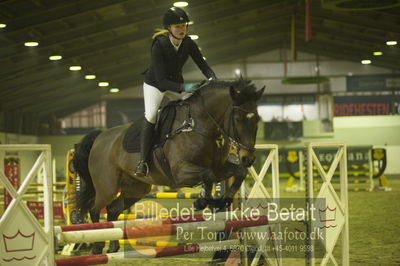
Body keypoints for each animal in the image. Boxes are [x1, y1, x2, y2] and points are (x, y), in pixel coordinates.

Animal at [72, 78, 266, 254]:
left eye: (257, 119)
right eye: (238, 118)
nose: (248, 158)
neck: (200, 124)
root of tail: (99, 137)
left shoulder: (220, 168)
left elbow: (238, 173)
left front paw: (222, 201)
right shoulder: (181, 173)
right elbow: (208, 175)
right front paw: (202, 201)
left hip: (135, 188)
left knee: (113, 210)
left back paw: (112, 246)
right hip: (107, 187)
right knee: (94, 209)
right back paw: (97, 246)